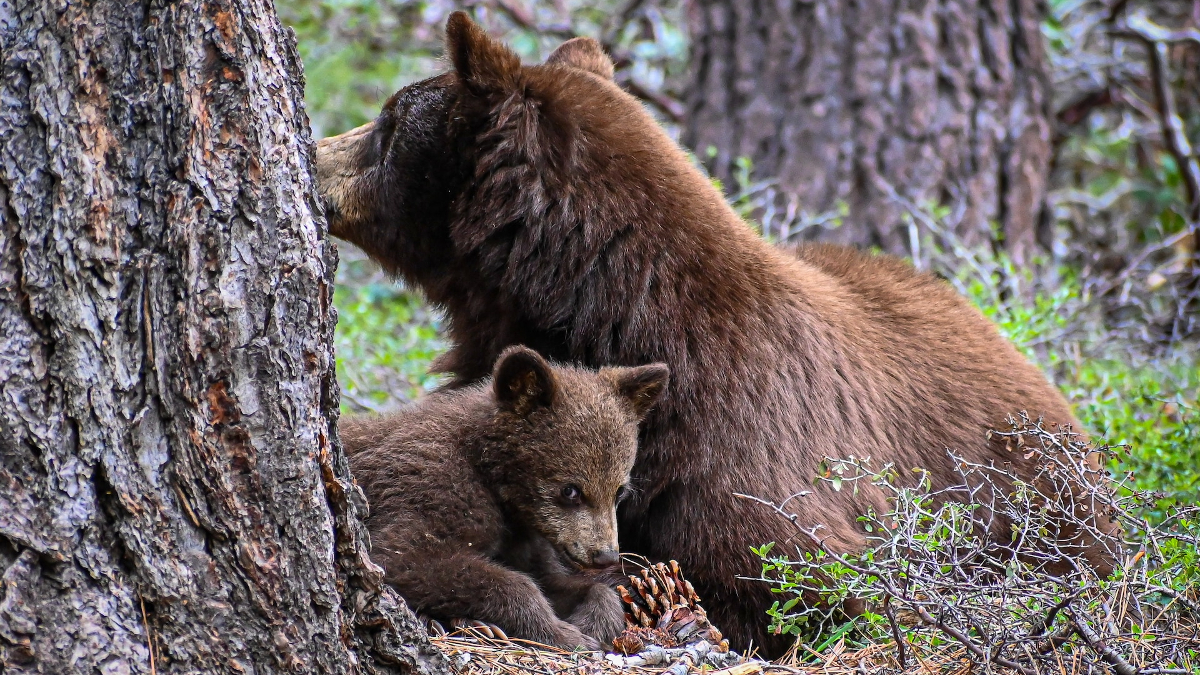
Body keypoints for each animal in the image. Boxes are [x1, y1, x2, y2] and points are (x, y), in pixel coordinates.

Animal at [314, 10, 1118, 653]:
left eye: (388, 122)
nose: (316, 155)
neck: (618, 312)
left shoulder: (746, 452)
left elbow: (807, 579)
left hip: (1046, 511)